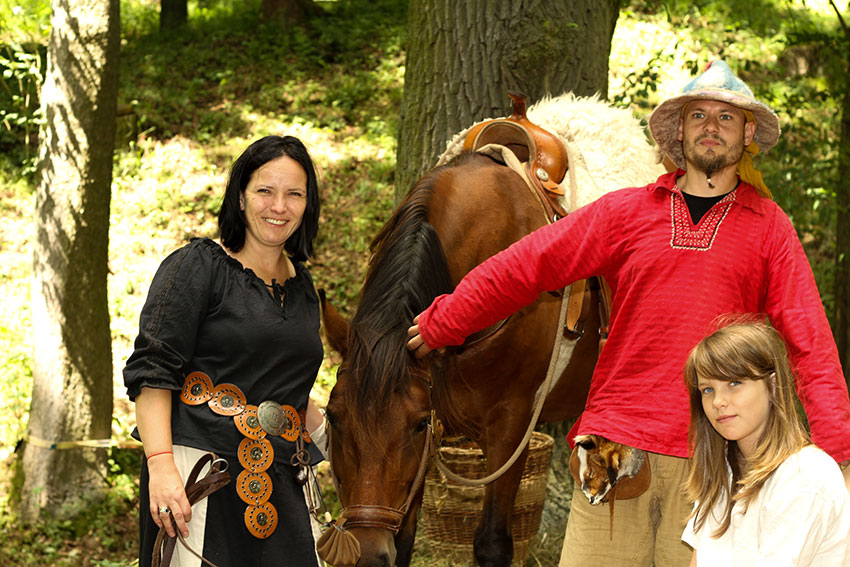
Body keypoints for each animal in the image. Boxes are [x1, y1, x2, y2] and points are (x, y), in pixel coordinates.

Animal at [321, 94, 665, 567]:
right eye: (333, 418)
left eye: (414, 424)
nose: (367, 554)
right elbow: (405, 540)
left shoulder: (510, 425)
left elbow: (492, 543)